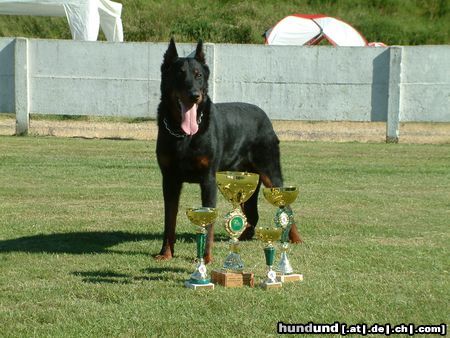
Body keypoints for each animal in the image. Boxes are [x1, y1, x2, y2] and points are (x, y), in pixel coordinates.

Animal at [156, 39, 300, 262]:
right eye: (179, 74)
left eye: (198, 75)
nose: (195, 95)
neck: (184, 135)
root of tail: (265, 115)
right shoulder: (169, 179)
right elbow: (169, 220)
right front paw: (166, 253)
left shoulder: (208, 179)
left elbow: (208, 223)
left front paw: (206, 259)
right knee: (252, 211)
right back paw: (244, 235)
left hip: (270, 172)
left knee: (286, 206)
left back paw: (295, 239)